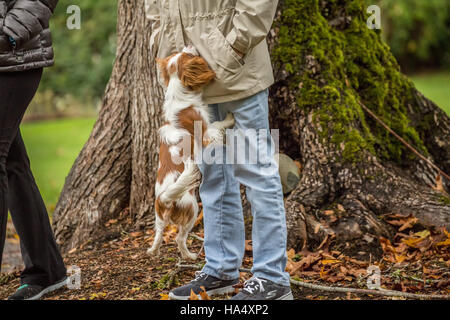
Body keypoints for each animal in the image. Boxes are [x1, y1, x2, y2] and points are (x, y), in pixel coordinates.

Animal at [148, 45, 236, 260]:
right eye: (189, 54)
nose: (189, 45)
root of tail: (165, 199)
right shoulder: (205, 134)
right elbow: (217, 125)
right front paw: (229, 118)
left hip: (159, 217)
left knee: (159, 234)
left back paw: (154, 250)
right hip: (193, 210)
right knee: (180, 238)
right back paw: (190, 256)